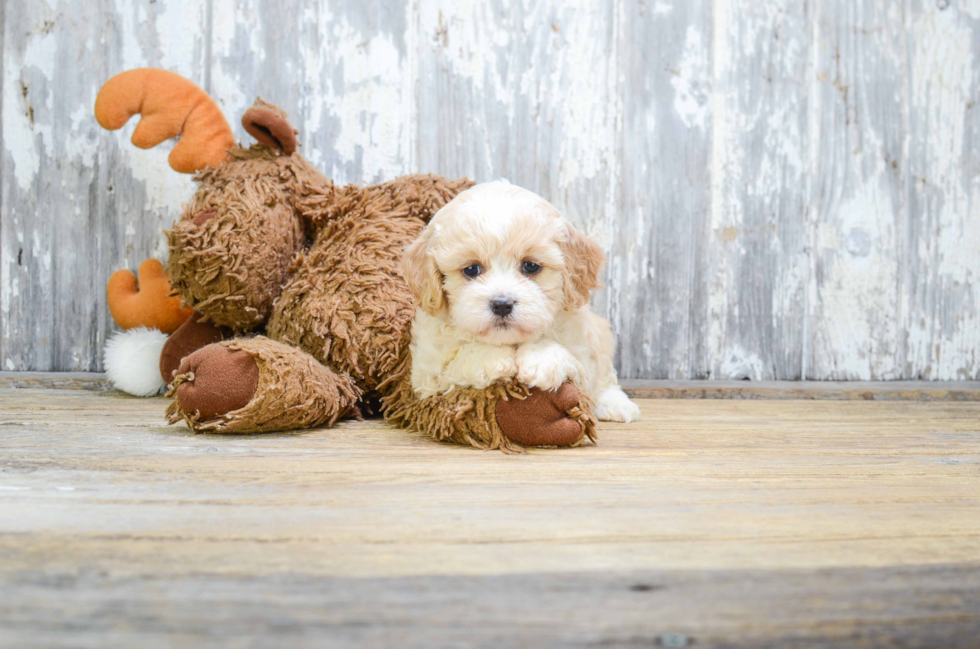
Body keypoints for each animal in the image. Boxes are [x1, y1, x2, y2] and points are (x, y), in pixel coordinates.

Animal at [402, 178, 640, 420]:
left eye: (531, 266)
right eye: (471, 269)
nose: (502, 304)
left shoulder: (582, 348)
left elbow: (575, 363)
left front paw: (543, 359)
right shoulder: (426, 374)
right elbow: (454, 362)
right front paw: (491, 360)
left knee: (605, 376)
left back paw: (616, 404)